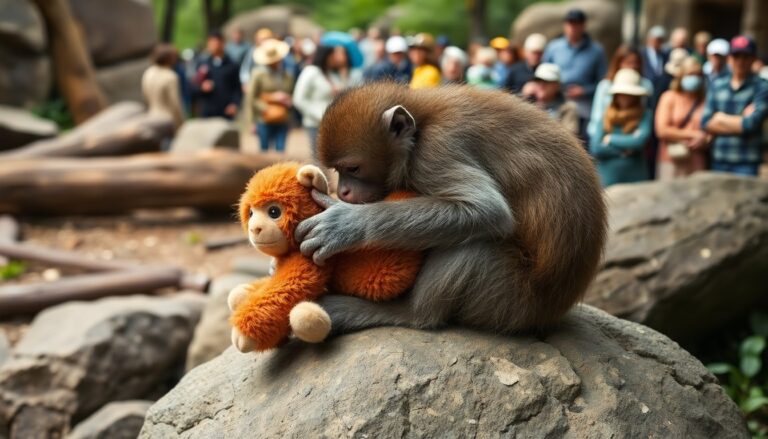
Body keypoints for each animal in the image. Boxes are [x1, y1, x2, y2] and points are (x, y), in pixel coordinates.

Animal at [294, 82, 607, 335]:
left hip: (509, 300)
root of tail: (554, 310)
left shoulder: (437, 149)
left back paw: (407, 312)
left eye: (353, 169)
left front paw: (345, 223)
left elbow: (486, 210)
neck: (421, 123)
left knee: (473, 246)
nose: (343, 191)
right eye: (338, 171)